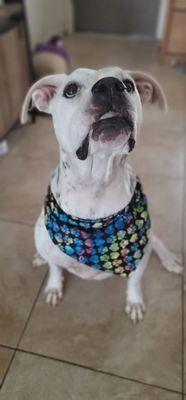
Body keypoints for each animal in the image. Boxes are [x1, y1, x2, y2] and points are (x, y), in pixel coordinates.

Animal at [21, 65, 182, 322]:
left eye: (129, 85)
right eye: (70, 89)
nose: (110, 86)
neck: (95, 184)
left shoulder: (139, 259)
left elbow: (134, 282)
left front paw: (134, 302)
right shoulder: (52, 252)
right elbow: (55, 268)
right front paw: (54, 287)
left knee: (155, 239)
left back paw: (169, 259)